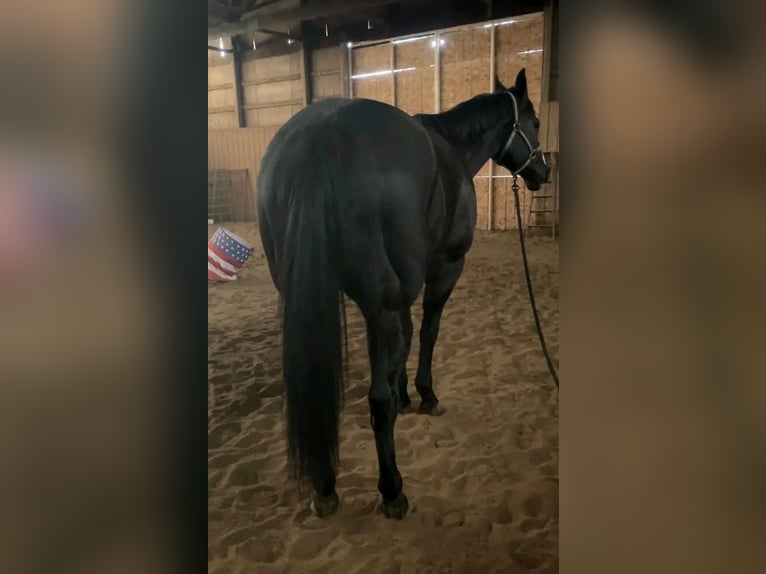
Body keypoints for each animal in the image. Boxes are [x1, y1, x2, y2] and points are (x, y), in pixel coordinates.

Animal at [256, 68, 549, 519]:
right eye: (533, 122)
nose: (543, 172)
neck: (452, 149)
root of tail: (320, 138)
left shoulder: (404, 290)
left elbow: (408, 339)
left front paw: (406, 395)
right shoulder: (444, 268)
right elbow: (427, 333)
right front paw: (426, 395)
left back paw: (324, 488)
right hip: (379, 305)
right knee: (376, 402)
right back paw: (392, 490)